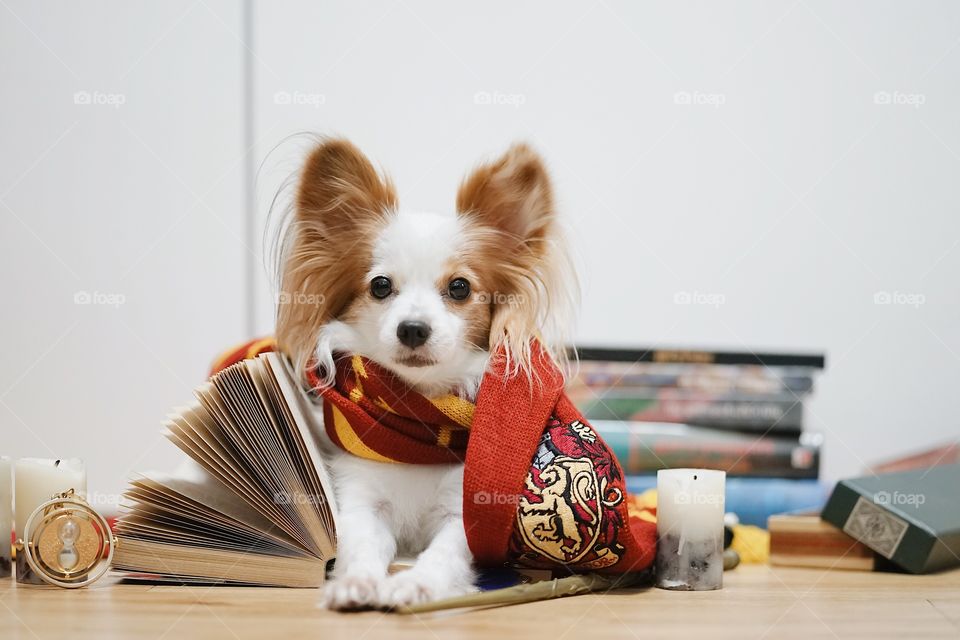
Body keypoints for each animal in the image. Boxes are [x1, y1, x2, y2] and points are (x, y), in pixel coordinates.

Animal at [276, 139, 576, 608]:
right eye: (380, 286)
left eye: (459, 288)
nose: (413, 328)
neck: (418, 412)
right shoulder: (362, 501)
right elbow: (362, 546)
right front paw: (356, 583)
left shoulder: (463, 513)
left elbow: (443, 554)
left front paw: (416, 584)